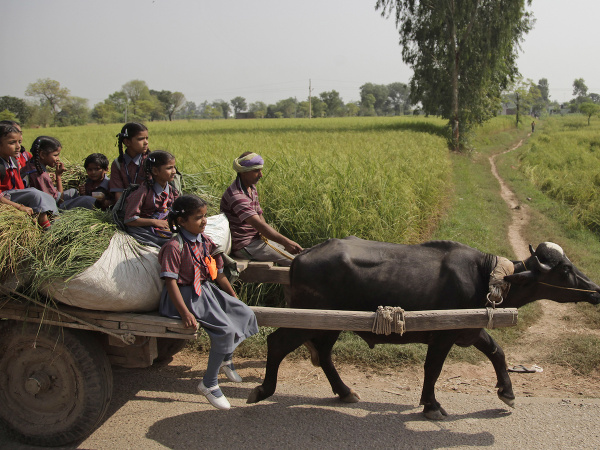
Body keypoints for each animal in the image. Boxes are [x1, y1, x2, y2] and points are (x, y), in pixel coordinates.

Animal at [248, 239, 600, 418]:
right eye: (564, 269)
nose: (595, 290)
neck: (485, 276)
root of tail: (299, 257)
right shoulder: (443, 337)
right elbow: (433, 370)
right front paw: (431, 405)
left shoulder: (470, 329)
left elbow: (497, 353)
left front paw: (508, 393)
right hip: (306, 319)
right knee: (277, 343)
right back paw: (262, 390)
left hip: (326, 324)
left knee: (322, 354)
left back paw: (345, 392)